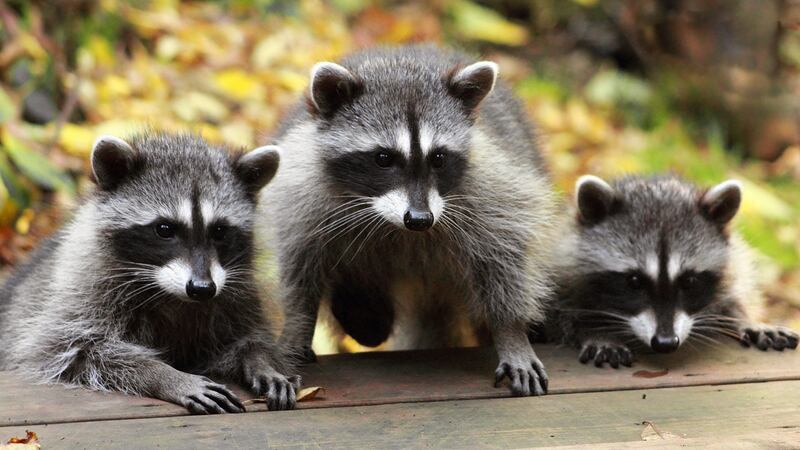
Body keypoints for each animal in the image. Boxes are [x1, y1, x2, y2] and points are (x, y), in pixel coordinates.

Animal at [0, 133, 300, 412]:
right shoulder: (84, 290)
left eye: (219, 231)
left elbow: (248, 338)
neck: (173, 295)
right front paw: (166, 376)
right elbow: (77, 349)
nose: (202, 288)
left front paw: (260, 361)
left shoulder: (236, 295)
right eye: (165, 229)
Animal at [262, 45, 559, 396]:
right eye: (383, 158)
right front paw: (298, 326)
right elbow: (300, 269)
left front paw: (511, 332)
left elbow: (504, 255)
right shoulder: (301, 193)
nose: (420, 219)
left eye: (439, 158)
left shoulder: (492, 189)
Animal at [554, 174, 798, 368]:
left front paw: (746, 318)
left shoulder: (734, 263)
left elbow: (733, 293)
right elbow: (565, 315)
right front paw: (597, 331)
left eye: (689, 281)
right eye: (634, 281)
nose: (665, 343)